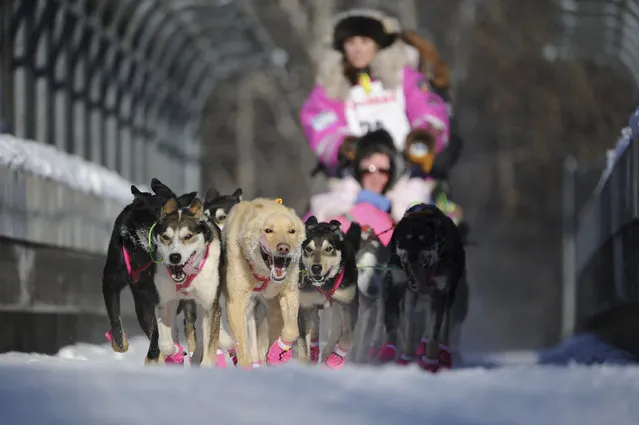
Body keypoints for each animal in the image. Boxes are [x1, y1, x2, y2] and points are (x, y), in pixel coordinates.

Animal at [149, 197, 224, 366]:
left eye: (188, 236)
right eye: (166, 237)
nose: (175, 257)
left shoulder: (211, 306)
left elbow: (208, 343)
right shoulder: (164, 302)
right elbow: (165, 342)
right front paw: (174, 351)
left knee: (202, 336)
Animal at [222, 198, 304, 368]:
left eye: (291, 231)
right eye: (268, 230)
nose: (284, 248)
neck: (263, 275)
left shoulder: (290, 292)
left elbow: (292, 330)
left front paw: (277, 352)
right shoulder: (236, 303)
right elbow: (241, 344)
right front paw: (245, 364)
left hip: (273, 312)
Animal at [296, 215, 360, 368]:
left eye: (329, 248)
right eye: (308, 249)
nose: (316, 268)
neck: (326, 284)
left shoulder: (349, 304)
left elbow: (347, 338)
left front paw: (334, 358)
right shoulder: (306, 307)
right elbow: (303, 343)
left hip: (337, 308)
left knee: (336, 330)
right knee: (315, 324)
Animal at [378, 202, 468, 372]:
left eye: (423, 240)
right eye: (406, 239)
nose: (412, 258)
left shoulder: (439, 293)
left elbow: (434, 332)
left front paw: (430, 361)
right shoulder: (397, 288)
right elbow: (403, 326)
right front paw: (400, 356)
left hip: (448, 296)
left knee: (443, 325)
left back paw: (441, 352)